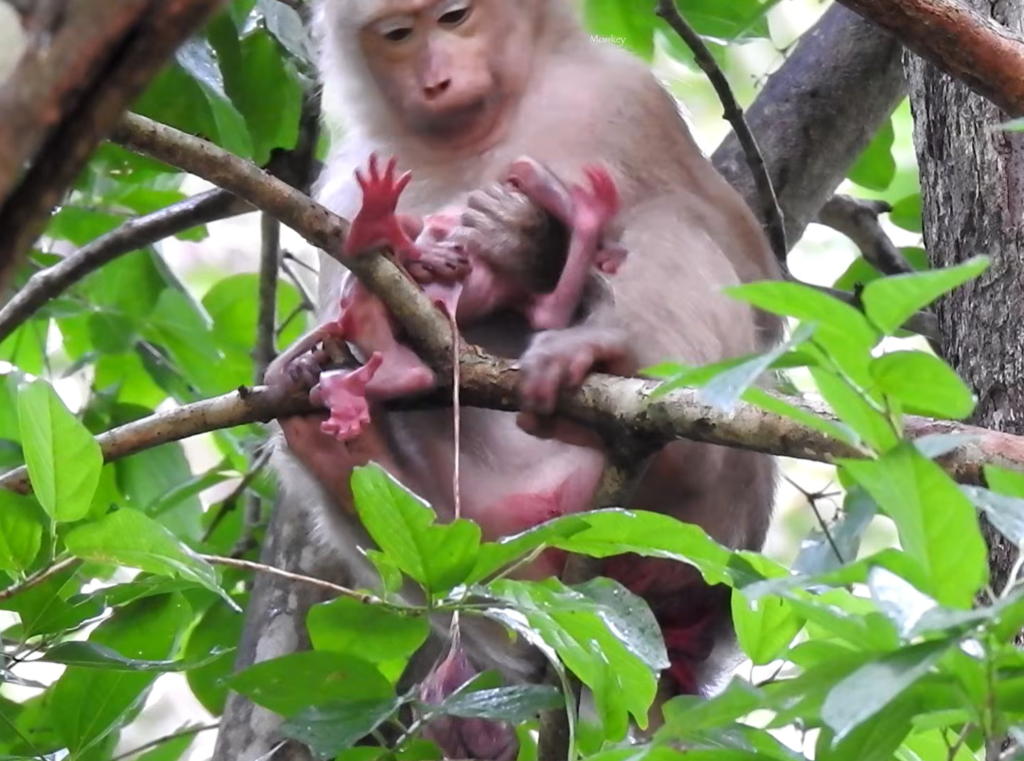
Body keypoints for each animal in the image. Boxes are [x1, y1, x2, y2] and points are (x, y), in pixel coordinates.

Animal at [267, 0, 783, 754]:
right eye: (399, 35)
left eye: (455, 17)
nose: (438, 80)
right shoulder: (344, 179)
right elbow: (350, 293)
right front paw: (333, 350)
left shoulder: (626, 95)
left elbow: (750, 273)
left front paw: (525, 241)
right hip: (489, 555)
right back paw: (340, 434)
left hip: (711, 525)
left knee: (673, 229)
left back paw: (600, 352)